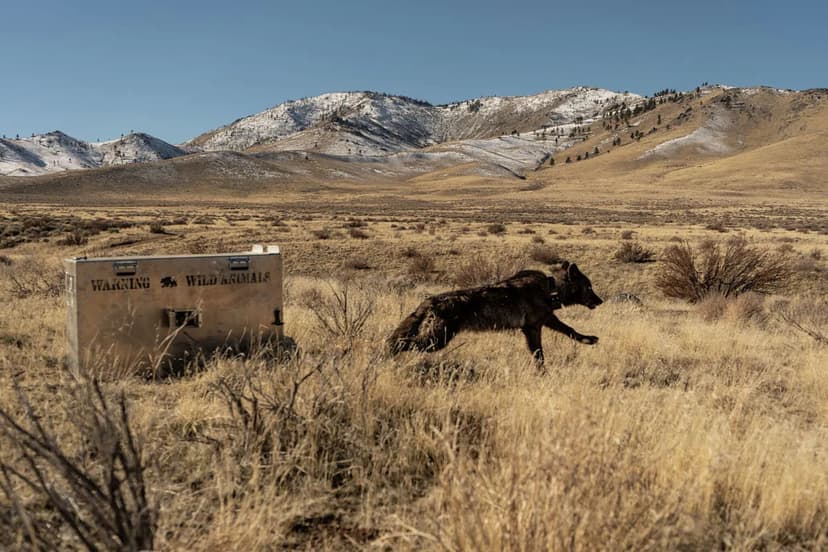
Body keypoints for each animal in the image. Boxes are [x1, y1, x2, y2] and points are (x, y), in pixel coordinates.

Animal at [387, 261, 603, 363]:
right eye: (589, 287)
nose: (600, 301)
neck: (551, 289)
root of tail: (429, 301)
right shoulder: (533, 329)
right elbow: (539, 355)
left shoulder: (547, 320)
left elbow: (570, 330)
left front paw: (588, 339)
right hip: (437, 340)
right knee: (399, 342)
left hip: (435, 339)